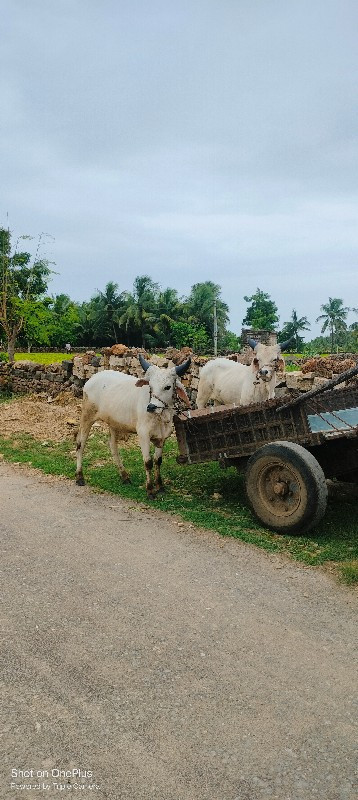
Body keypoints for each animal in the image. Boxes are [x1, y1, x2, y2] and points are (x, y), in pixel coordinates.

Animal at [75, 354, 192, 496]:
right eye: (150, 386)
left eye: (168, 387)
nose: (151, 407)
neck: (161, 417)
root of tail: (92, 379)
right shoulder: (143, 435)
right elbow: (148, 462)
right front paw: (150, 490)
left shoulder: (163, 437)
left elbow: (158, 461)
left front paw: (160, 486)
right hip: (87, 417)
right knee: (80, 443)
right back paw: (79, 476)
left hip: (113, 423)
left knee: (113, 446)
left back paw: (124, 476)